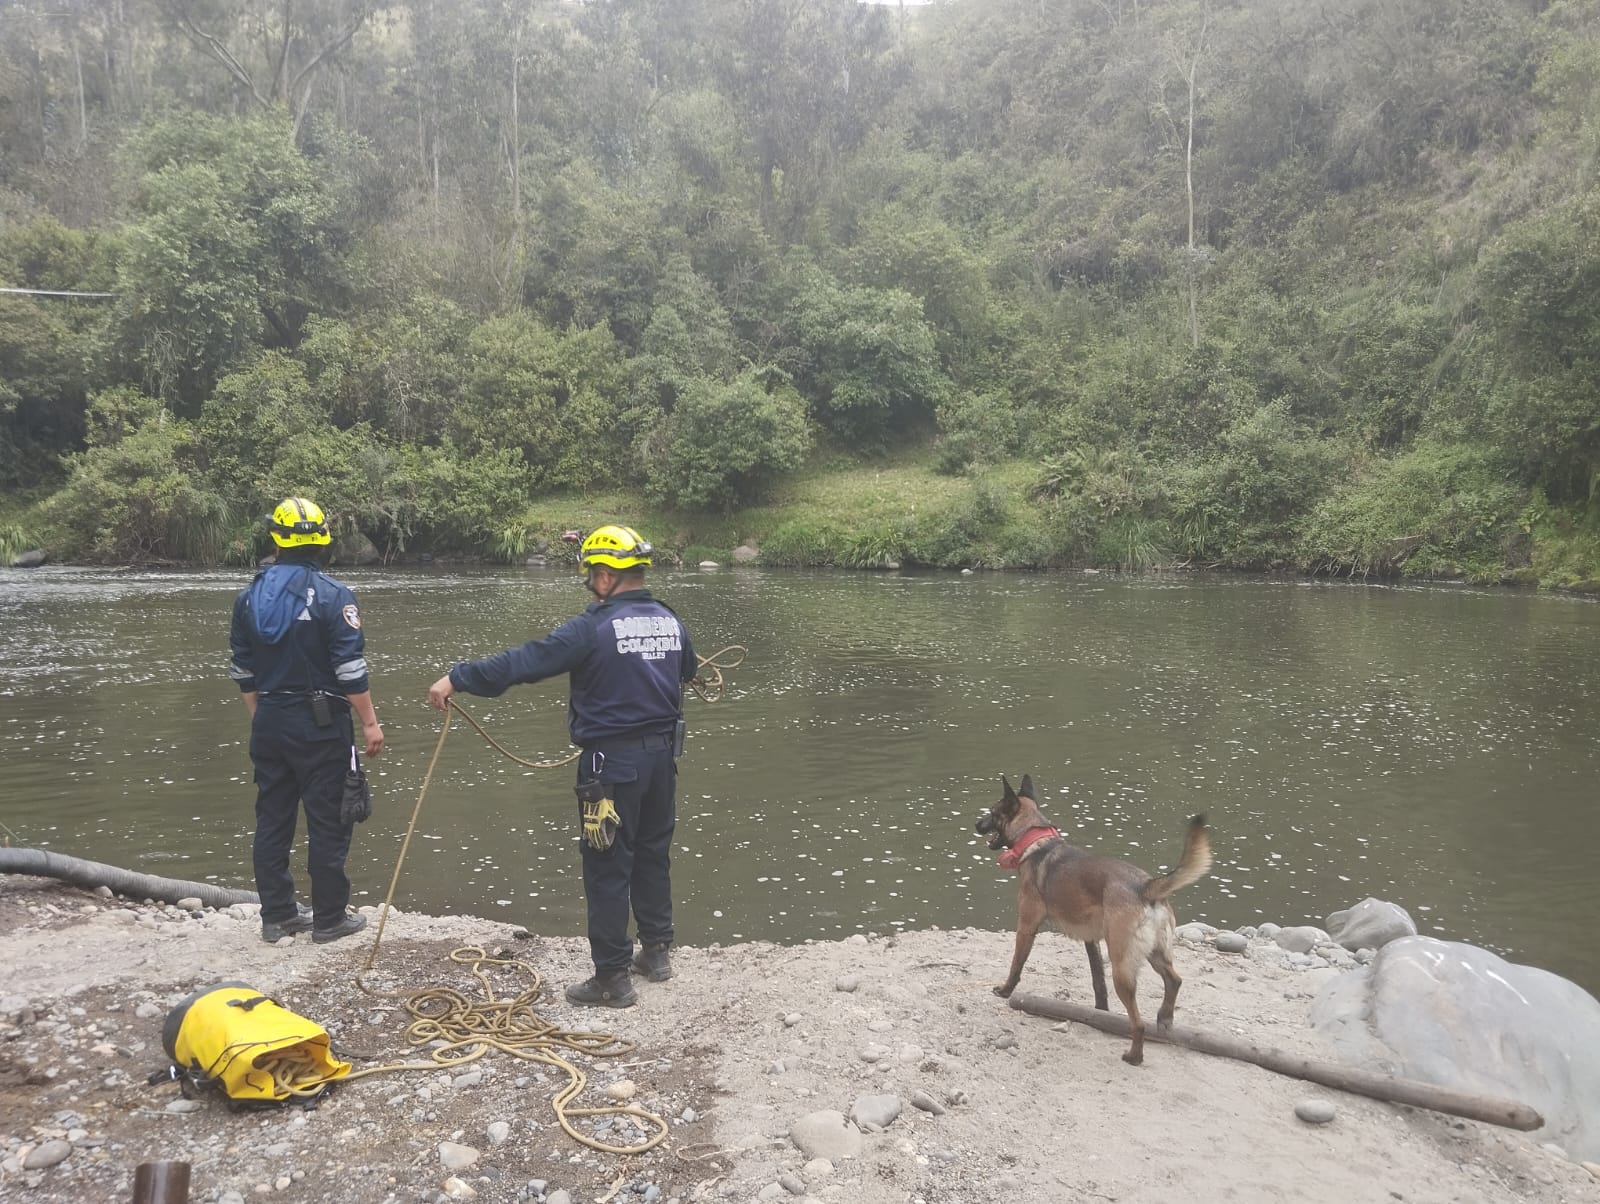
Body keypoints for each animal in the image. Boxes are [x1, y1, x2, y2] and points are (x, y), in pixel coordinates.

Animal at [972, 771, 1209, 1063]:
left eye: (993, 813)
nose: (976, 823)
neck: (1037, 842)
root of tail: (1146, 886)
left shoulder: (1026, 927)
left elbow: (1016, 965)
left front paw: (1006, 991)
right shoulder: (1091, 941)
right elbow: (1098, 981)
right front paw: (1100, 1012)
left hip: (1122, 967)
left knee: (1138, 1022)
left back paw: (1134, 1055)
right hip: (1155, 953)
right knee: (1174, 981)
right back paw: (1164, 1018)